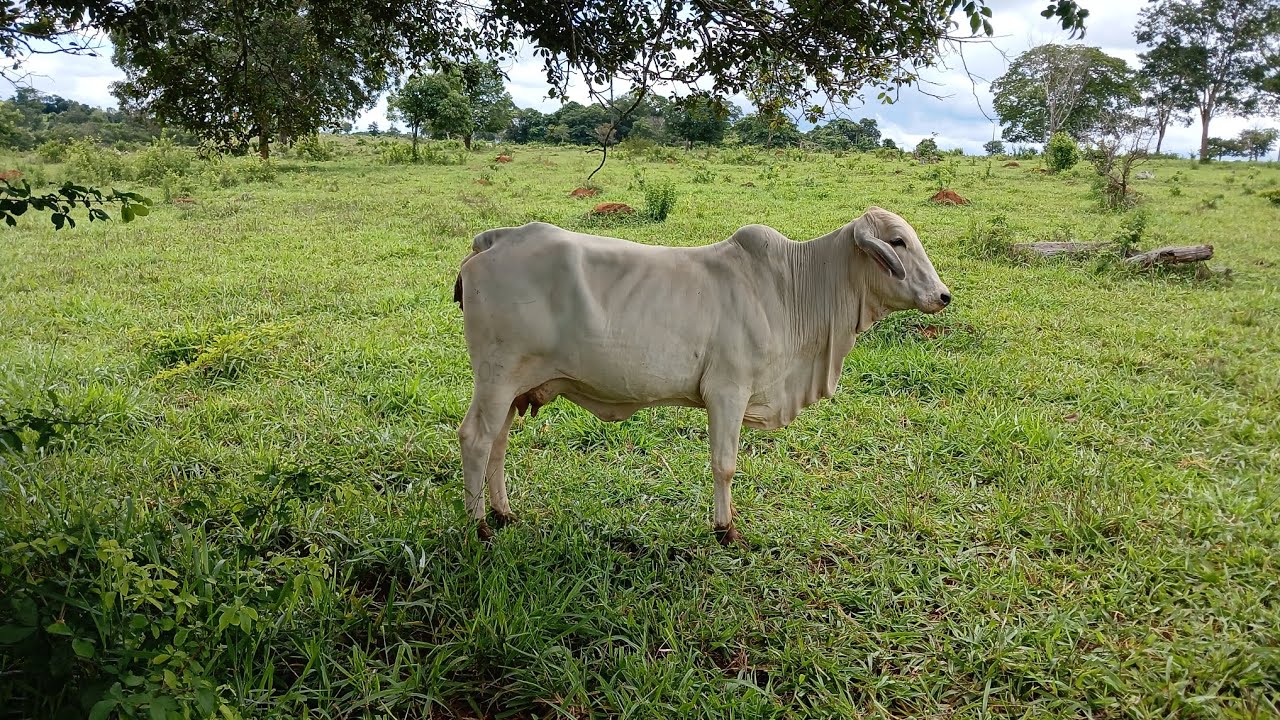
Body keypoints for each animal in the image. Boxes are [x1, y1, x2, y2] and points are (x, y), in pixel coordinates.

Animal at [453, 206, 950, 544]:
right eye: (898, 242)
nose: (943, 295)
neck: (794, 287)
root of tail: (494, 241)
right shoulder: (727, 391)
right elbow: (724, 465)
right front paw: (725, 528)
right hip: (496, 377)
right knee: (475, 439)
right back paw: (479, 525)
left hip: (513, 386)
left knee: (497, 443)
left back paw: (503, 513)